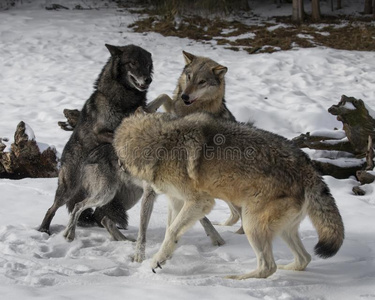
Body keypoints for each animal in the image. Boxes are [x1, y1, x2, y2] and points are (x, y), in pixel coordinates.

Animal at [38, 44, 154, 241]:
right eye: (132, 63)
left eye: (147, 64)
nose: (148, 80)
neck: (124, 99)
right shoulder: (101, 131)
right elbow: (118, 135)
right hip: (70, 189)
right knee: (52, 208)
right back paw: (44, 229)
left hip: (126, 196)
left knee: (100, 214)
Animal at [115, 112, 346, 278]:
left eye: (117, 157)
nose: (118, 168)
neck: (162, 144)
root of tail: (310, 169)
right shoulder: (177, 200)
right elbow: (170, 231)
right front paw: (163, 258)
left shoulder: (201, 202)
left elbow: (171, 231)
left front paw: (156, 260)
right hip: (282, 230)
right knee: (303, 259)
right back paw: (285, 268)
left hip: (252, 224)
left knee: (268, 267)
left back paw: (235, 280)